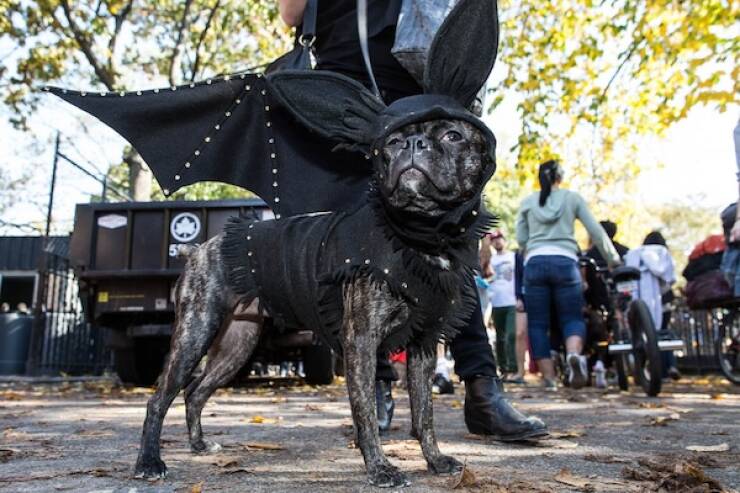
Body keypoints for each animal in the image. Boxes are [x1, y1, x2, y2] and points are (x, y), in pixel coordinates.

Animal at [134, 118, 486, 484]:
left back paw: (200, 445)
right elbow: (367, 415)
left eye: (454, 135)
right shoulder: (361, 342)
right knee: (159, 399)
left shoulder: (423, 346)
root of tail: (199, 250)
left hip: (236, 346)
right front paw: (380, 468)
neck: (419, 236)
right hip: (195, 334)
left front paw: (436, 461)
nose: (413, 144)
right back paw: (149, 462)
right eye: (391, 141)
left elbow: (424, 415)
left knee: (195, 392)